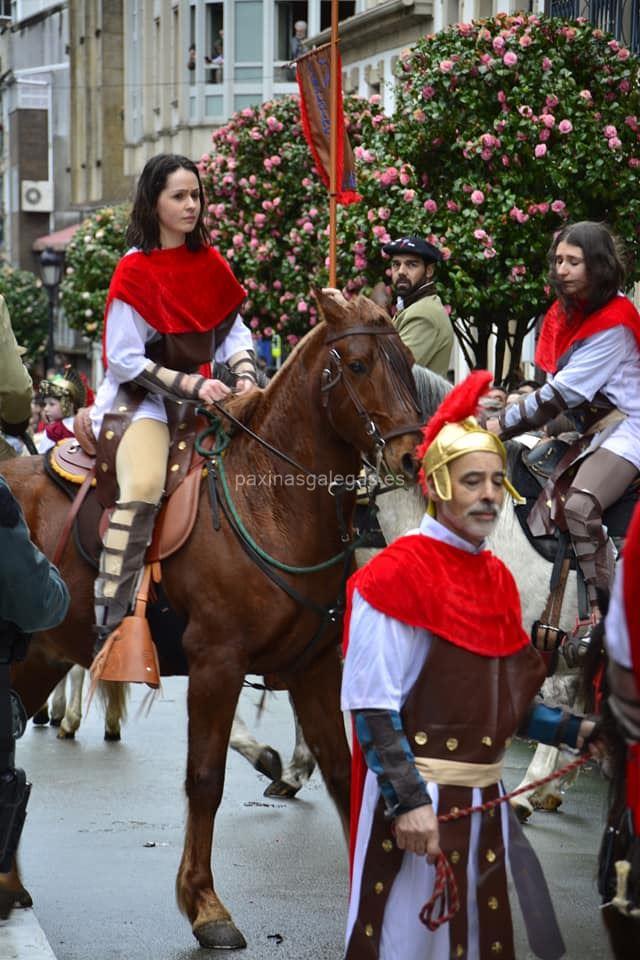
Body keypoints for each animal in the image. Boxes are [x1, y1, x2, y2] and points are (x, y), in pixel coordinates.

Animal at [0, 292, 422, 952]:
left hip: (41, 655)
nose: (412, 453)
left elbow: (341, 770)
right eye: (357, 365)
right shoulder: (216, 663)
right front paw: (205, 905)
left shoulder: (315, 668)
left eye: (407, 360)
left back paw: (9, 881)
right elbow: (205, 778)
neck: (269, 498)